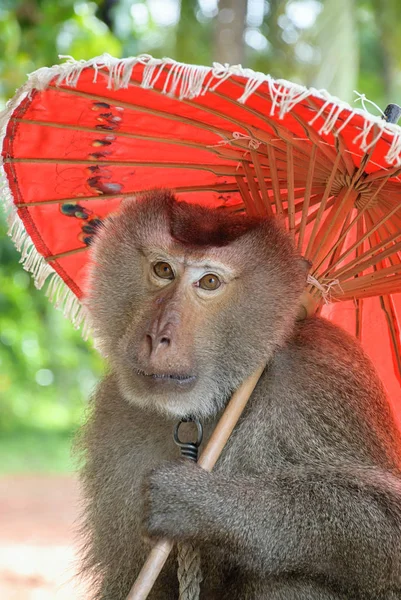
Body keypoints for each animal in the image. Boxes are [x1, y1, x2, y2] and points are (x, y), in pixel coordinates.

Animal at [76, 190, 400, 600]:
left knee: (284, 582)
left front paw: (197, 502)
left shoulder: (326, 383)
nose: (157, 336)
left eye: (210, 281)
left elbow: (389, 528)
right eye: (163, 269)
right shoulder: (116, 412)